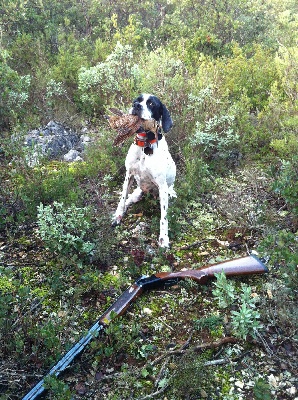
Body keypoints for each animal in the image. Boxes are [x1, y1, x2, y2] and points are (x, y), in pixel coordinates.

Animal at [112, 94, 177, 247]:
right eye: (136, 100)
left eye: (152, 104)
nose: (136, 106)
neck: (144, 146)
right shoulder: (128, 175)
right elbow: (122, 198)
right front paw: (118, 215)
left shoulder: (162, 187)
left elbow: (163, 217)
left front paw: (164, 238)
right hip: (137, 192)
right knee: (129, 199)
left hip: (167, 193)